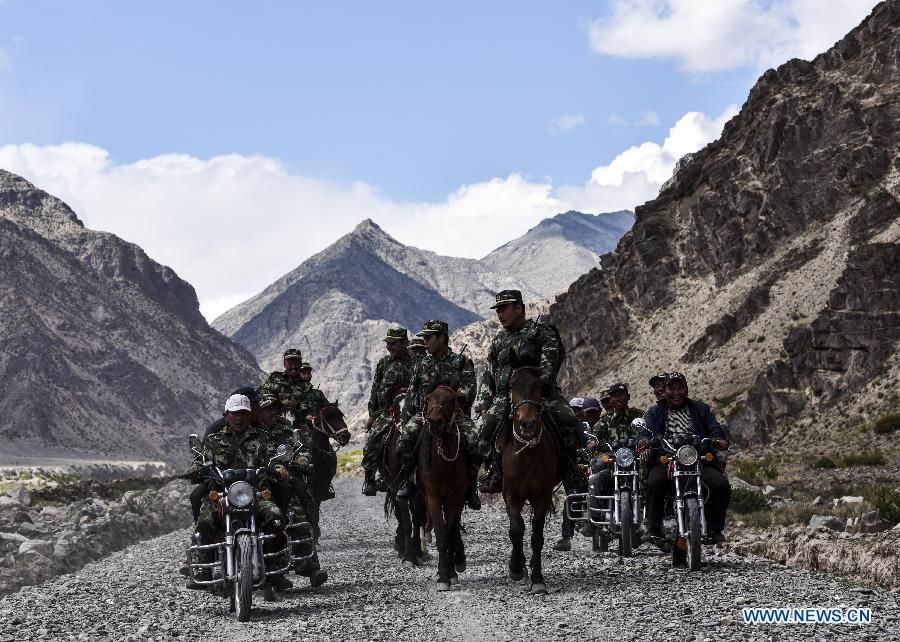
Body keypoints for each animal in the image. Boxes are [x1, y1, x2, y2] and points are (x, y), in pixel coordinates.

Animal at [502, 362, 560, 592]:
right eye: (511, 386)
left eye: (539, 385)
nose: (527, 423)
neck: (526, 454)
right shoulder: (510, 494)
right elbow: (516, 530)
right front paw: (516, 568)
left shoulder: (542, 495)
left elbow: (536, 534)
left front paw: (537, 578)